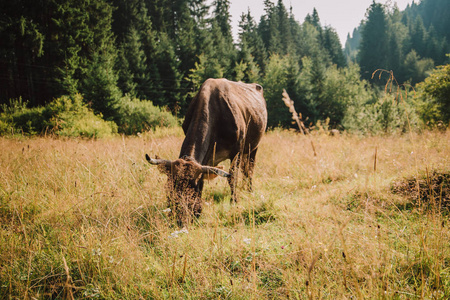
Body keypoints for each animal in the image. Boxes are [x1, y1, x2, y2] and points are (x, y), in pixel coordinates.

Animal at [147, 78, 268, 224]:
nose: (179, 219)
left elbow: (232, 177)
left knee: (249, 169)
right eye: (170, 186)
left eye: (193, 188)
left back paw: (249, 190)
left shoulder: (237, 151)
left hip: (253, 147)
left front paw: (234, 200)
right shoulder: (207, 158)